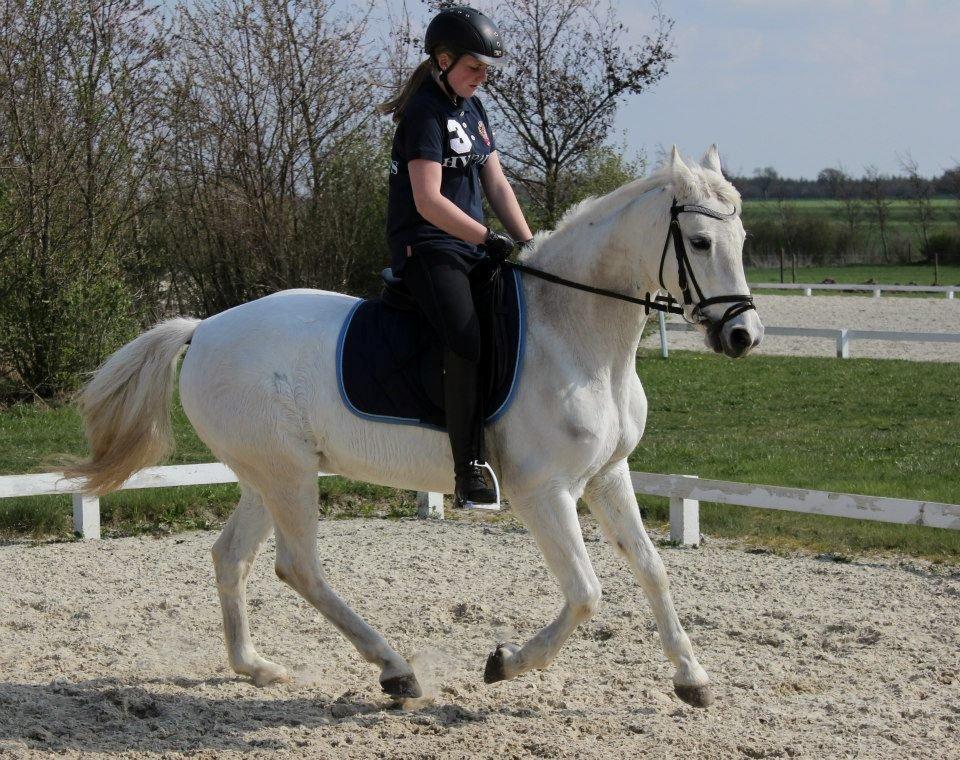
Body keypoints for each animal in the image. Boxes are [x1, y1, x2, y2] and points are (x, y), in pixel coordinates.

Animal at [65, 147, 764, 708]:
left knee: (231, 555)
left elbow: (652, 568)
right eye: (699, 242)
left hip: (266, 475)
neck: (574, 332)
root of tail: (204, 329)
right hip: (286, 476)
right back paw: (395, 671)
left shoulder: (607, 476)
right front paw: (505, 663)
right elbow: (587, 592)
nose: (743, 336)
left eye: (742, 239)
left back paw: (258, 668)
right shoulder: (545, 493)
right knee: (299, 567)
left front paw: (692, 678)